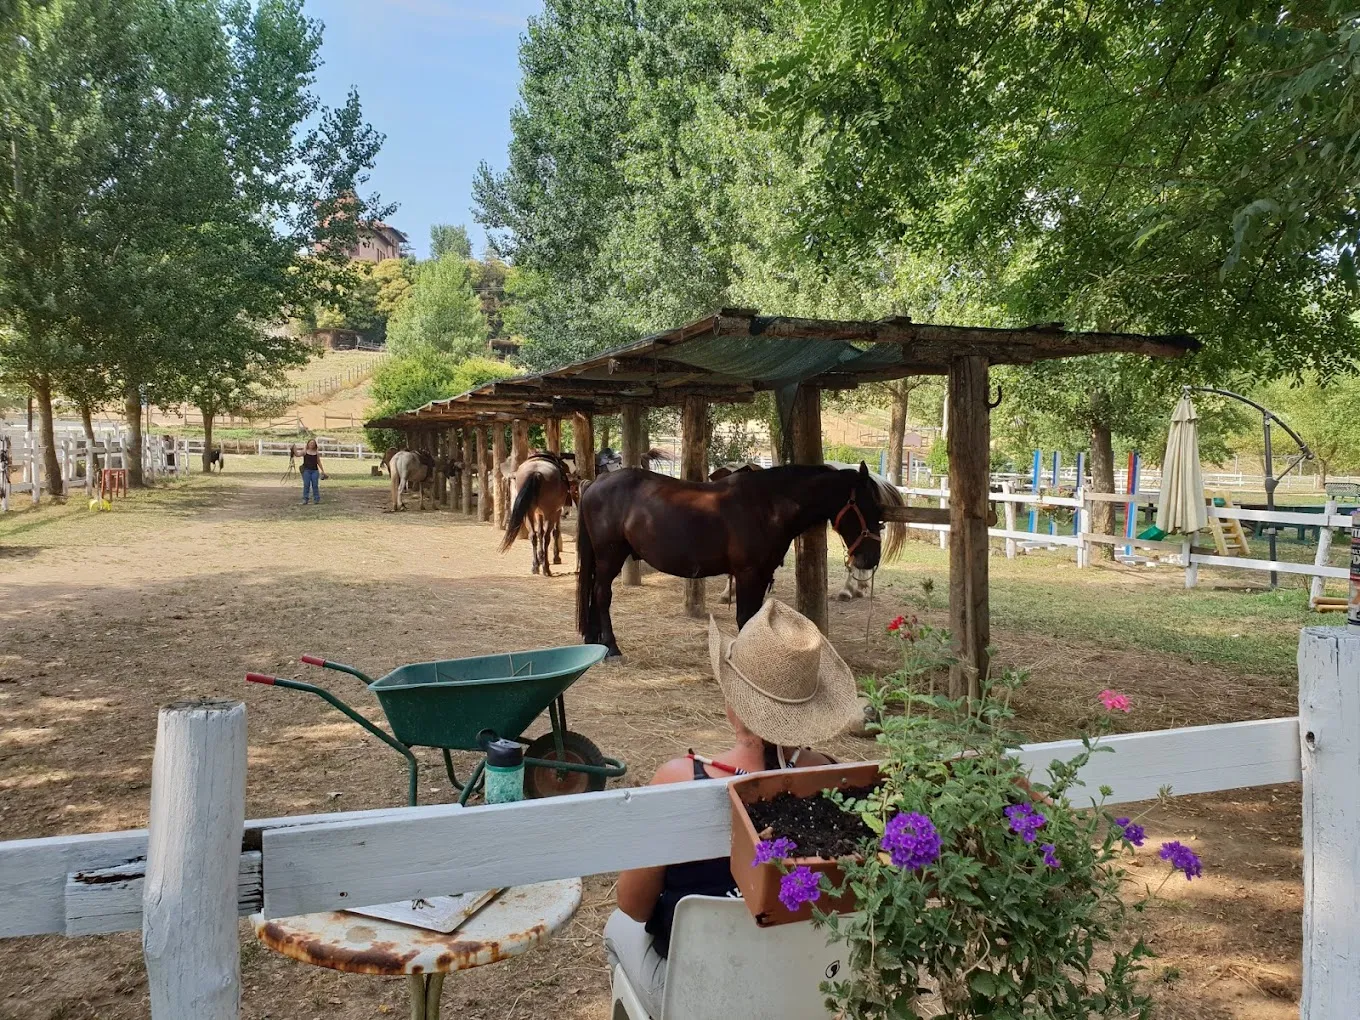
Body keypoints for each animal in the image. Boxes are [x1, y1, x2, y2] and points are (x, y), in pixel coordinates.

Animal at [576, 462, 899, 657]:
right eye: (867, 507)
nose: (870, 558)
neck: (767, 506)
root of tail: (595, 482)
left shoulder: (761, 574)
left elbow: (754, 617)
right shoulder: (747, 573)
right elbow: (744, 617)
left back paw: (594, 640)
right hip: (609, 556)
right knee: (602, 594)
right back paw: (612, 648)